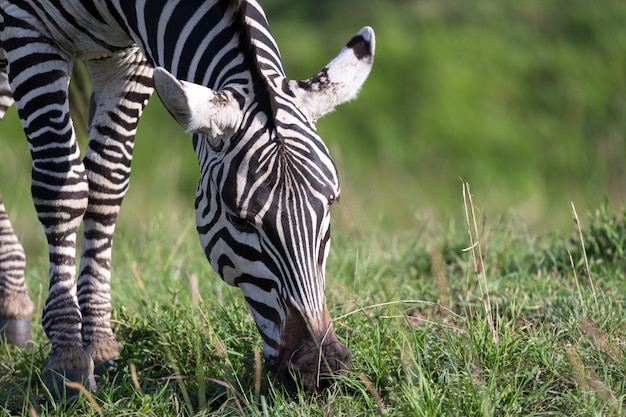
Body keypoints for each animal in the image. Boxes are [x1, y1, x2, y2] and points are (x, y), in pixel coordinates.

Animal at [0, 0, 370, 396]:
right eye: (240, 219)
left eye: (330, 203)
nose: (321, 368)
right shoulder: (26, 27)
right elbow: (62, 184)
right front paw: (67, 358)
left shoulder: (130, 60)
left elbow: (106, 182)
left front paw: (98, 344)